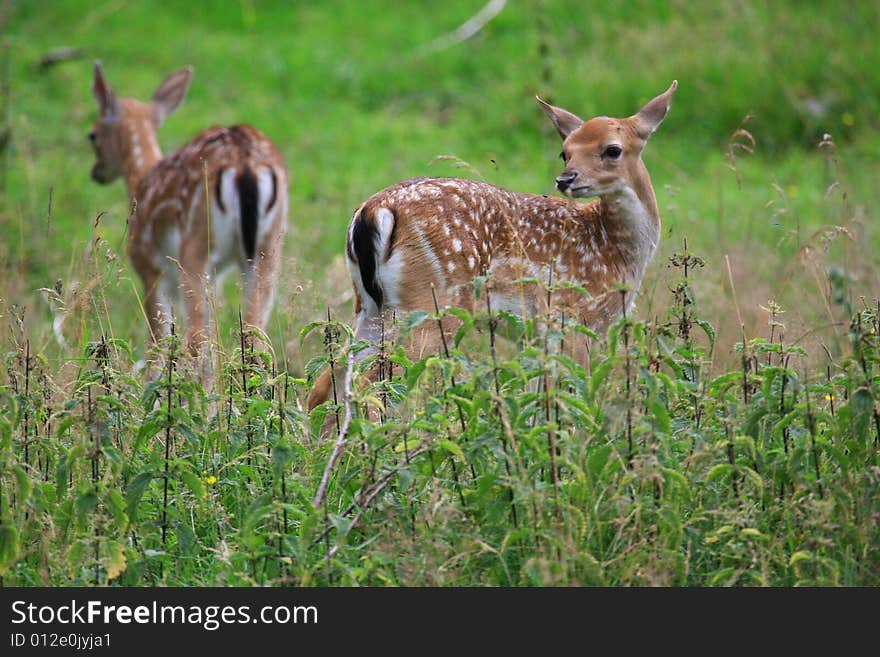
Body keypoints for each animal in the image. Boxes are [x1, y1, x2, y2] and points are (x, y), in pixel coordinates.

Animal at [88, 61, 288, 368]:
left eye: (93, 135)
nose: (96, 173)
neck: (140, 183)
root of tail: (244, 163)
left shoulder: (148, 267)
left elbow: (157, 346)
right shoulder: (215, 277)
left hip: (195, 244)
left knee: (196, 342)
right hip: (267, 246)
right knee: (256, 340)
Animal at [306, 82, 676, 410]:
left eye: (613, 149)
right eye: (565, 151)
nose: (565, 179)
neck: (614, 251)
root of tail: (373, 211)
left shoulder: (542, 334)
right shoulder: (574, 321)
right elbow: (574, 396)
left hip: (371, 308)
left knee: (327, 383)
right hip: (433, 303)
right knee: (371, 383)